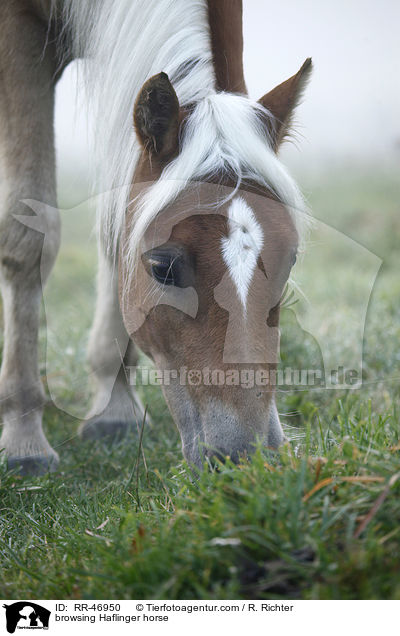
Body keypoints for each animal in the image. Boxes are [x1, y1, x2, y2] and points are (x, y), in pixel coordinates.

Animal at [0, 0, 310, 472]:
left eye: (289, 260)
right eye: (163, 268)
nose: (247, 454)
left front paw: (114, 408)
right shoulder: (20, 34)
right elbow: (30, 235)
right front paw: (24, 439)